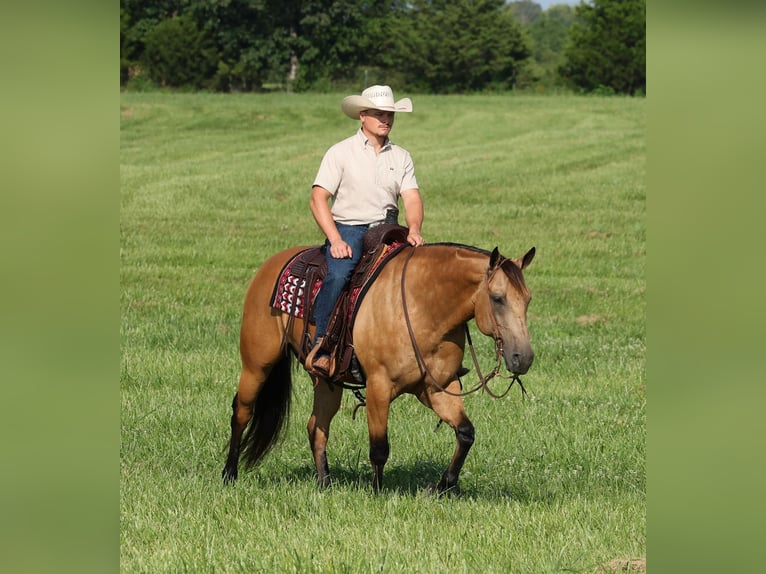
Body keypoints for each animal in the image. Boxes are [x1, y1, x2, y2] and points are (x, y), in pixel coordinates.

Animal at [222, 242, 535, 494]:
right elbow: (379, 447)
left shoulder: (438, 388)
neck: (422, 306)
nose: (524, 357)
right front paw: (377, 492)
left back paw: (325, 483)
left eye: (528, 299)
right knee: (242, 412)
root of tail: (273, 264)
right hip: (257, 364)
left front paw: (443, 486)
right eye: (497, 298)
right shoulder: (378, 387)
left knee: (316, 426)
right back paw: (229, 474)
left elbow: (466, 433)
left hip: (326, 381)